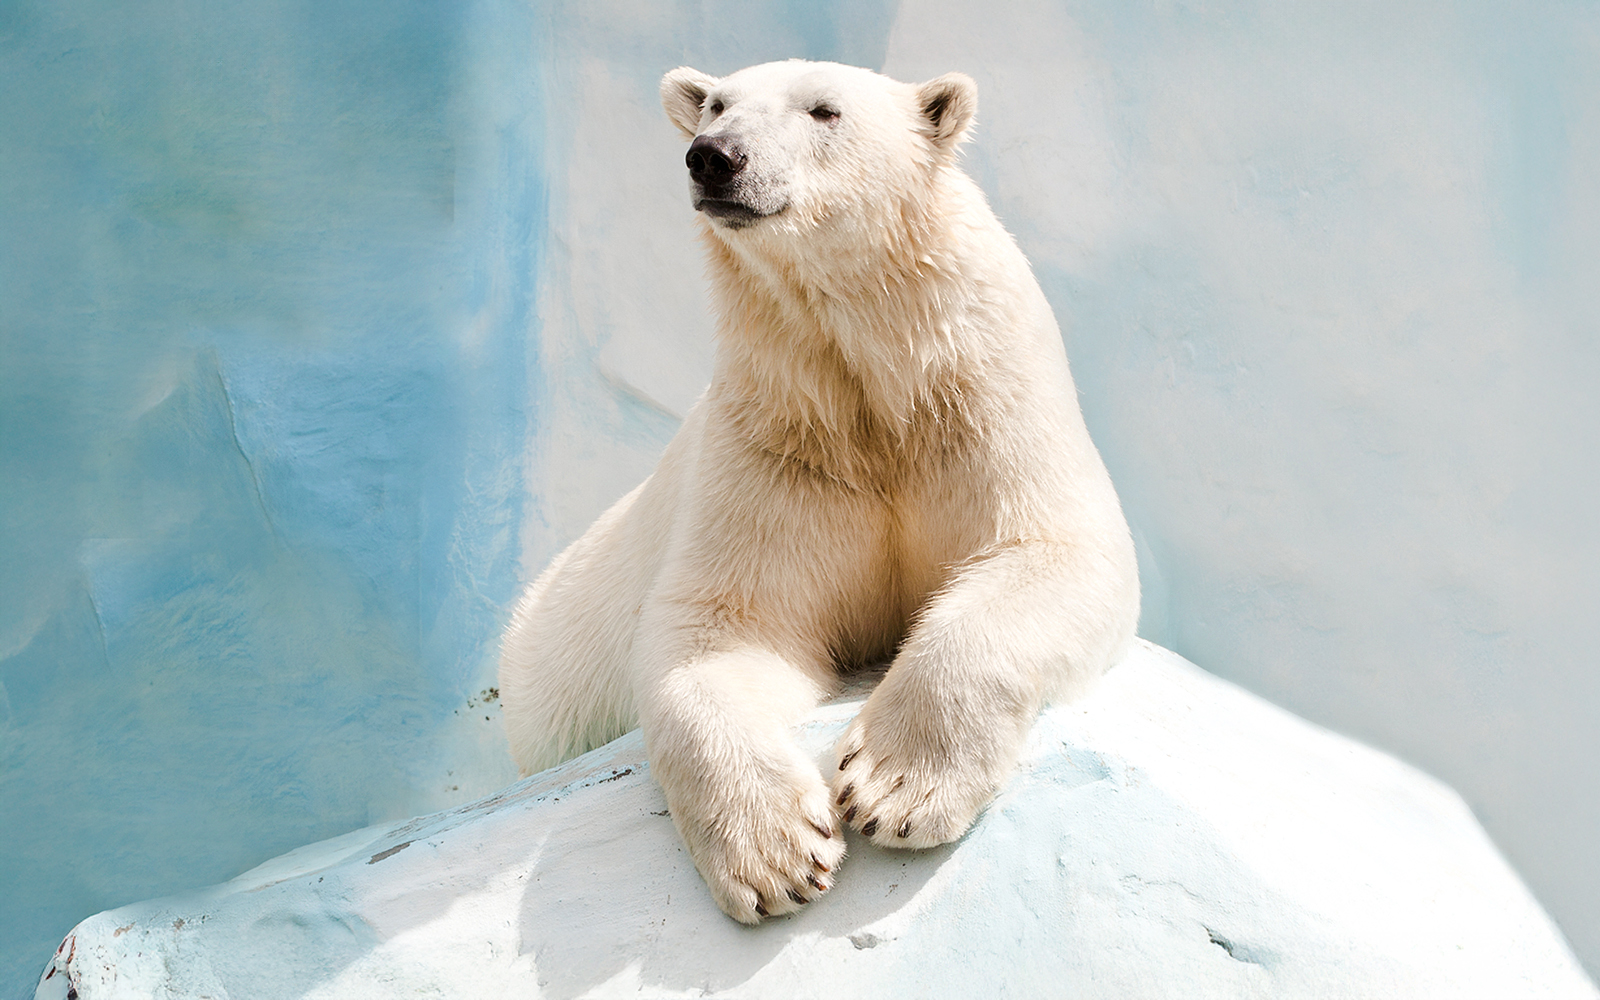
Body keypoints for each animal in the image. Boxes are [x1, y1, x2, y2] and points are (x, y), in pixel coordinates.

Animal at [499, 59, 1140, 924]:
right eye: (717, 104)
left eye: (824, 110)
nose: (714, 156)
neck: (872, 382)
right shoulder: (780, 440)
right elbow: (727, 626)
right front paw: (776, 854)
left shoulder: (984, 402)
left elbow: (1049, 551)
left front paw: (897, 789)